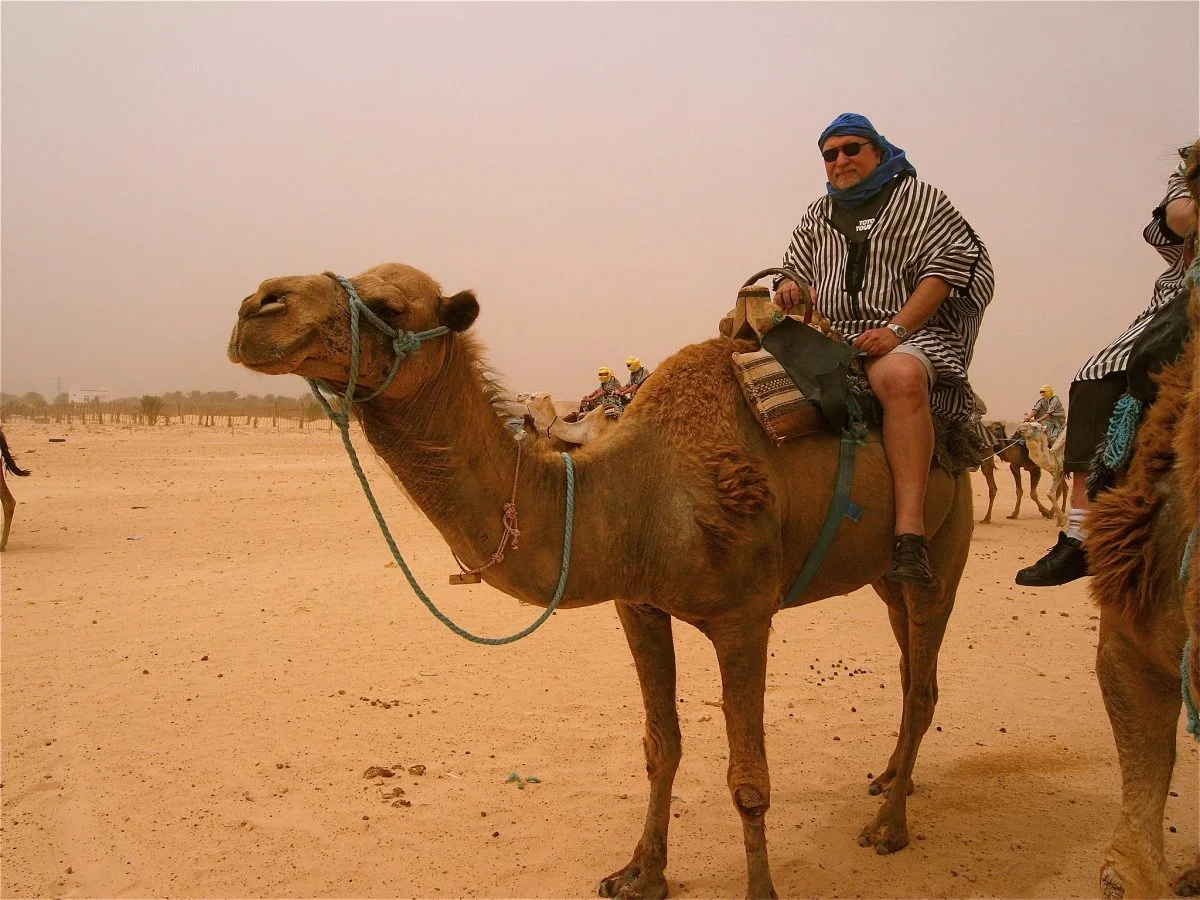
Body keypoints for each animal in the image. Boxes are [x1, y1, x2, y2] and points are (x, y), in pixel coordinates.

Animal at [225, 262, 974, 900]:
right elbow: (660, 747)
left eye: (387, 305)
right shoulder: (637, 605)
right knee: (910, 670)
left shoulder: (743, 616)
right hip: (883, 578)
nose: (257, 305)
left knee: (924, 683)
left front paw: (757, 890)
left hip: (944, 547)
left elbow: (748, 780)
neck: (638, 490)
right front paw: (641, 874)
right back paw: (887, 780)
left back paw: (889, 828)